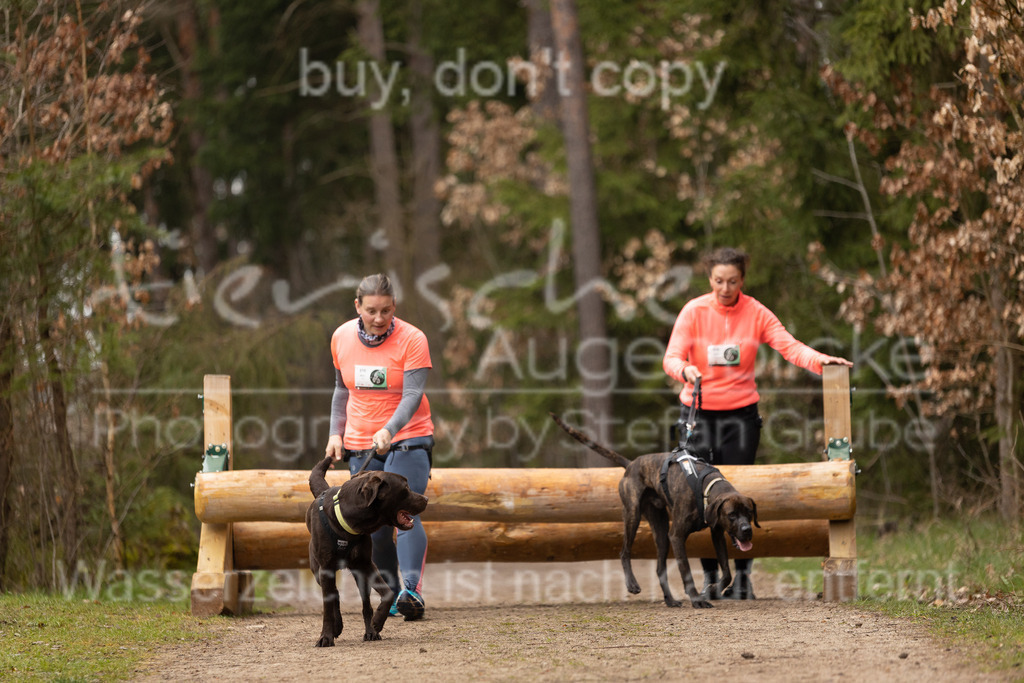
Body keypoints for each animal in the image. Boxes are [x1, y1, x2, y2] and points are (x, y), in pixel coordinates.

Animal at [307, 456, 428, 651]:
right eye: (405, 488)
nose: (426, 498)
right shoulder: (325, 569)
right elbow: (327, 607)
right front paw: (325, 637)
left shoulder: (365, 564)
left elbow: (387, 593)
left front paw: (377, 623)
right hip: (318, 571)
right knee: (334, 596)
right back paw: (337, 627)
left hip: (359, 576)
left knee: (365, 603)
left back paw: (370, 632)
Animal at [552, 413, 761, 610]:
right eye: (732, 515)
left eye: (749, 513)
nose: (746, 530)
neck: (706, 487)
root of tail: (631, 464)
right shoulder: (677, 536)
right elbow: (686, 572)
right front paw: (696, 599)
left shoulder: (716, 532)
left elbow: (726, 572)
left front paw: (712, 589)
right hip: (633, 515)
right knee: (624, 551)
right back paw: (632, 583)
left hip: (661, 531)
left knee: (660, 569)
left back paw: (670, 599)